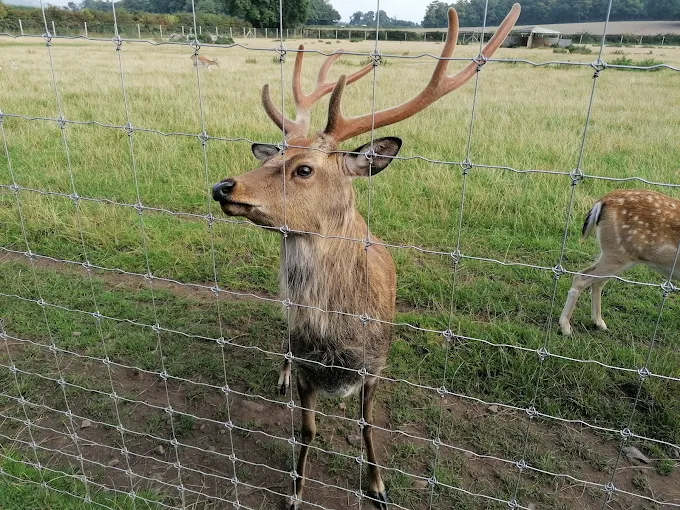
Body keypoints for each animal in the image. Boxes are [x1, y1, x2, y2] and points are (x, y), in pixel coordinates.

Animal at [211, 5, 520, 508]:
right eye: (270, 158)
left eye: (303, 169)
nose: (223, 186)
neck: (339, 343)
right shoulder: (308, 367)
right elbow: (307, 429)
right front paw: (295, 491)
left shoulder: (376, 366)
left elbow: (367, 425)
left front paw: (377, 485)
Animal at [559, 189, 680, 336]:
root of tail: (601, 201)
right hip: (617, 254)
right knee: (581, 277)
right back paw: (566, 327)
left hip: (614, 255)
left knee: (596, 282)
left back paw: (599, 323)